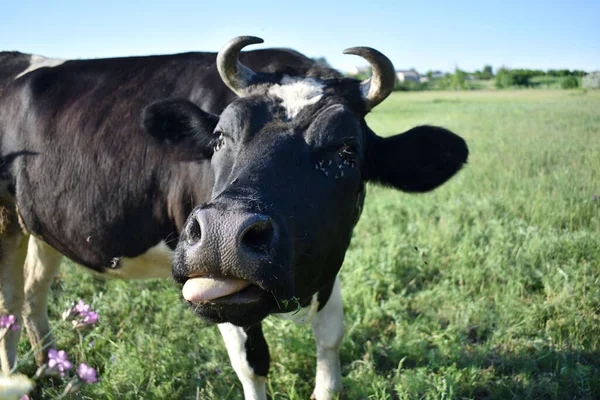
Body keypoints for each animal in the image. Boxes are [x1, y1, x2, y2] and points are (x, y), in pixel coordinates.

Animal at [0, 36, 468, 398]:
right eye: (220, 137)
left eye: (346, 151)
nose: (222, 234)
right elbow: (253, 362)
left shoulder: (328, 259)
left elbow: (331, 341)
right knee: (10, 302)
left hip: (39, 224)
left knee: (34, 291)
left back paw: (48, 367)